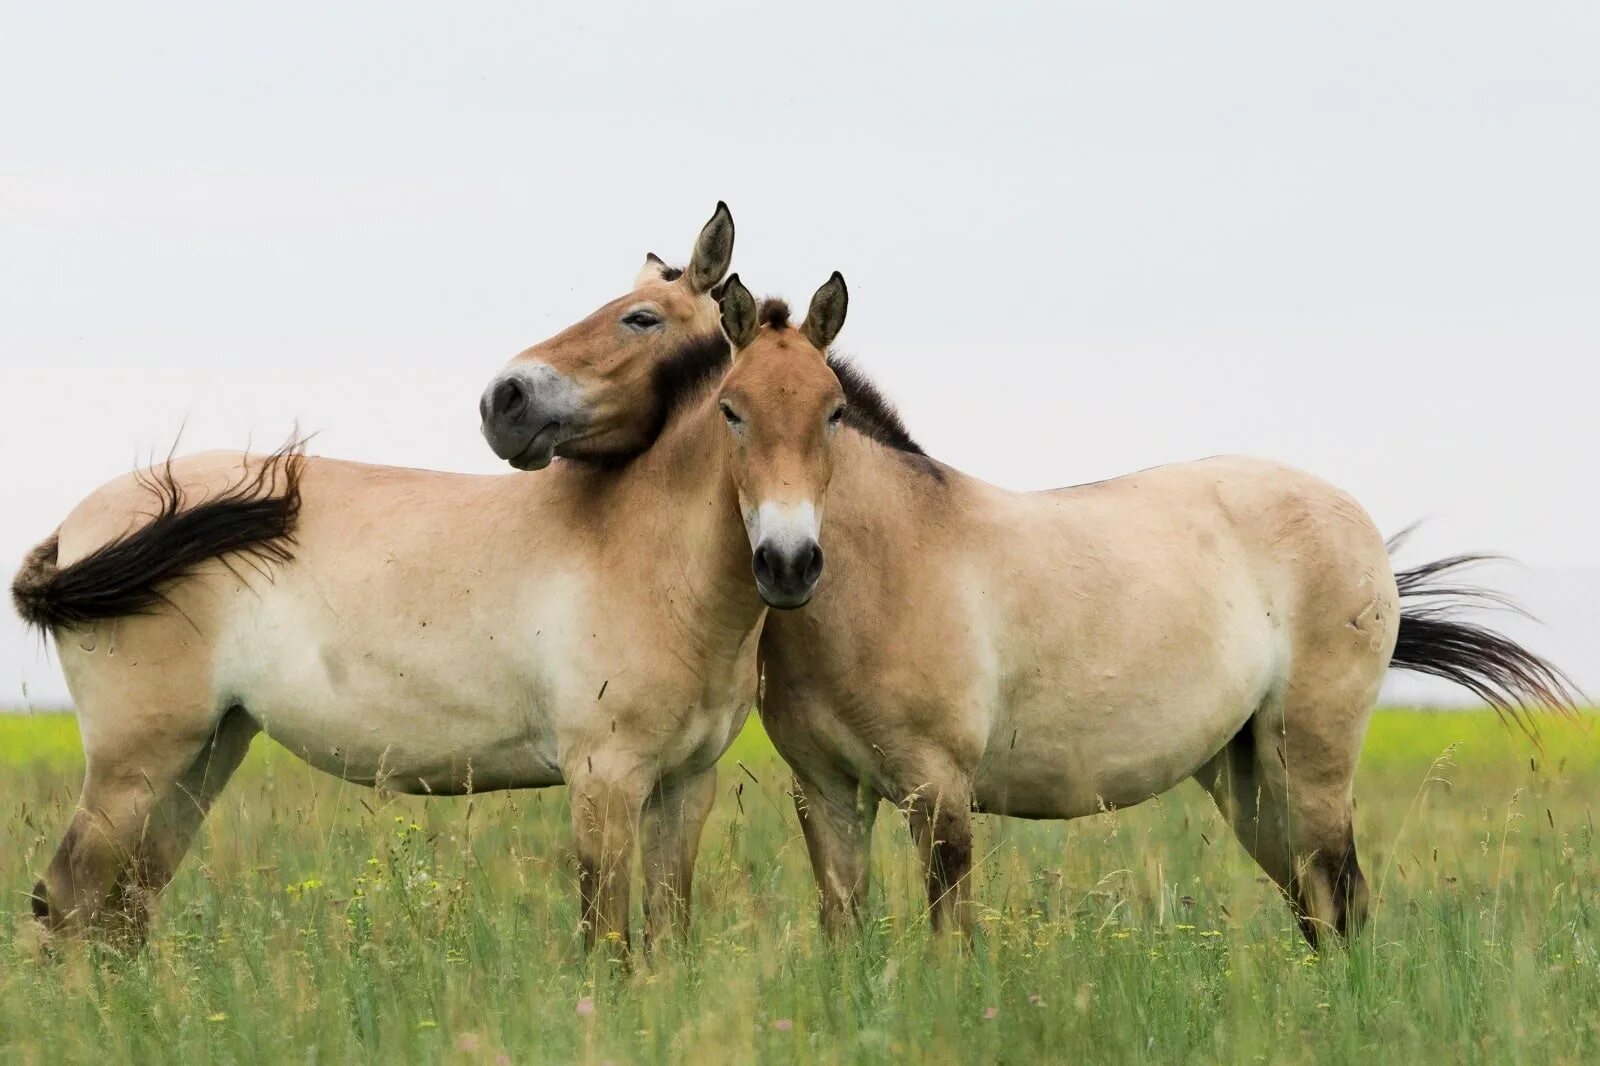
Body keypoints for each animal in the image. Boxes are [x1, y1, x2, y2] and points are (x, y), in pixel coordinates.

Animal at [473, 281, 1574, 947]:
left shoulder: (938, 790)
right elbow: (846, 932)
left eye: (639, 318)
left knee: (1341, 899)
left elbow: (949, 935)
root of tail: (1352, 522)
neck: (883, 565)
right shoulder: (828, 792)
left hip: (1310, 763)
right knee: (1314, 902)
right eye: (733, 410)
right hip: (1247, 776)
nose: (504, 402)